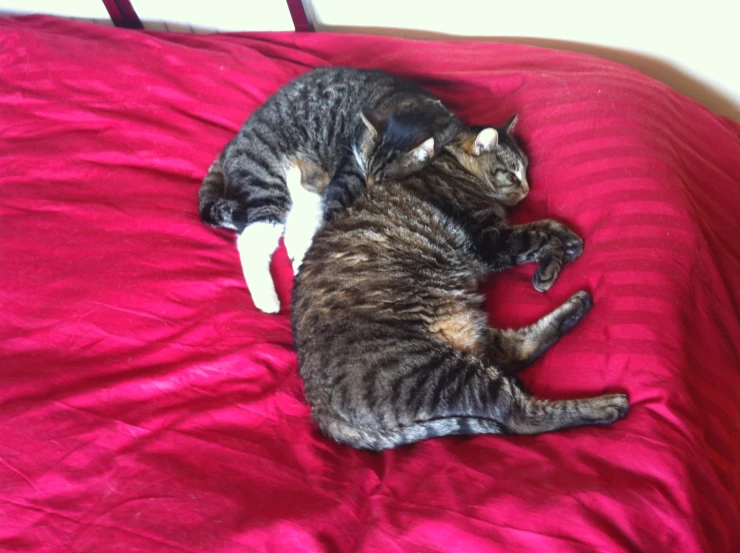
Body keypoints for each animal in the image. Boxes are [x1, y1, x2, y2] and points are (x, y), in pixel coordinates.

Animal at [197, 67, 462, 312]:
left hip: (301, 192)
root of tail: (232, 143)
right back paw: (268, 298)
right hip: (266, 183)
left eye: (380, 179)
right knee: (251, 241)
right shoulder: (349, 170)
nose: (367, 186)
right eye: (364, 169)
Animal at [292, 118, 628, 450]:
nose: (527, 189)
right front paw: (552, 260)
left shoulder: (498, 233)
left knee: (512, 353)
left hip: (464, 336)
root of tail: (318, 406)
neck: (453, 165)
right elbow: (535, 236)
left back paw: (576, 307)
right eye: (511, 174)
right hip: (434, 371)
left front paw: (568, 239)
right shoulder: (489, 240)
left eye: (526, 172)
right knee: (519, 415)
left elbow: (542, 225)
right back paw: (603, 406)